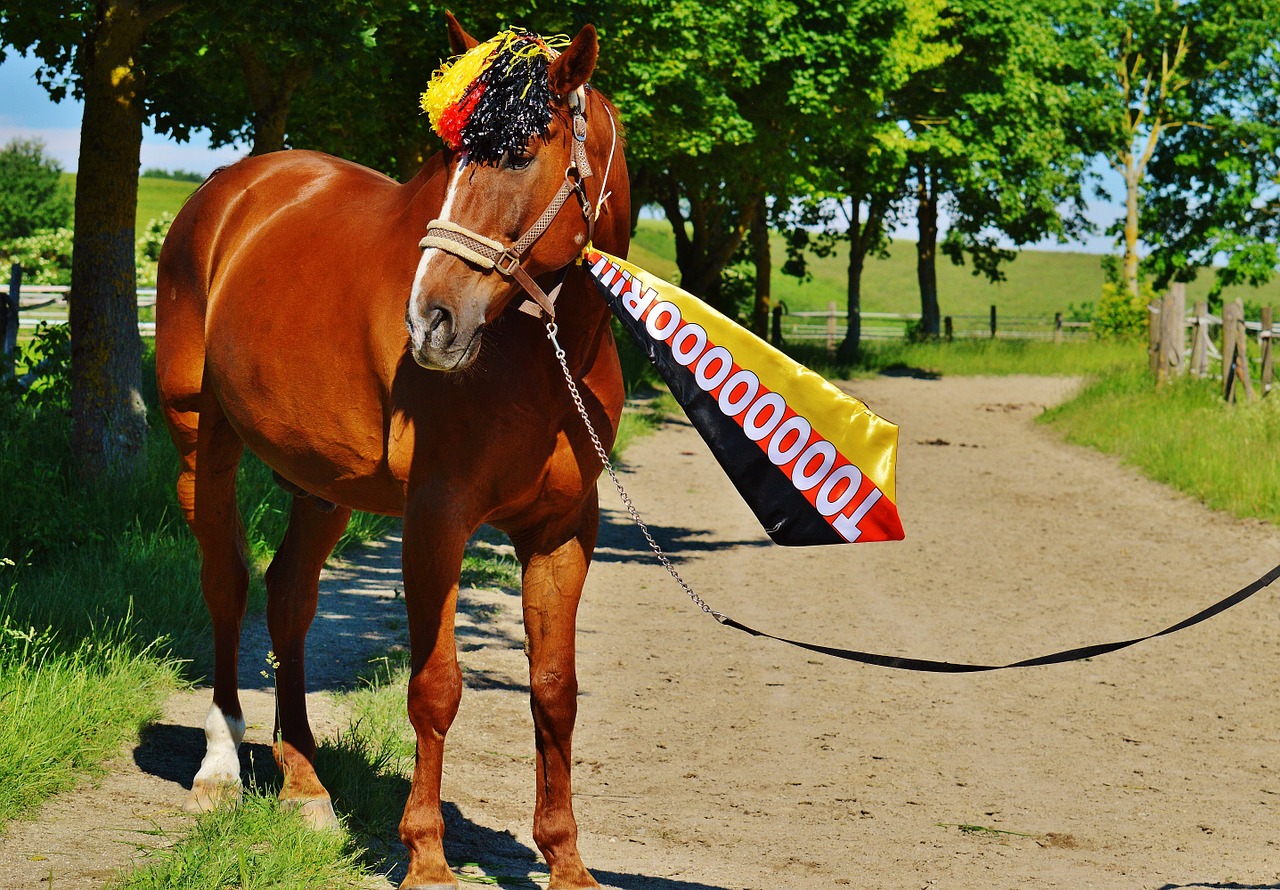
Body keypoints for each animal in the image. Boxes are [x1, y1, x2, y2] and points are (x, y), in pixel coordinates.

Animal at [154, 15, 629, 890]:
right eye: (450, 159)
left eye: (522, 151)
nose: (431, 320)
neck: (540, 354)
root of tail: (229, 192)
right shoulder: (435, 519)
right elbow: (436, 686)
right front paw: (427, 857)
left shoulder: (562, 531)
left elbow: (554, 691)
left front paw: (566, 862)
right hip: (203, 445)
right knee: (227, 585)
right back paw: (219, 766)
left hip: (320, 480)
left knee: (289, 597)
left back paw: (304, 784)